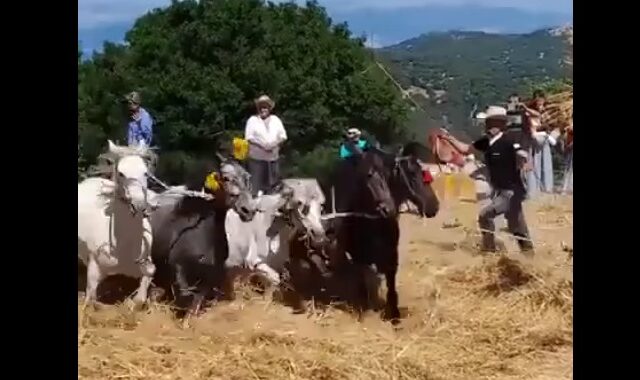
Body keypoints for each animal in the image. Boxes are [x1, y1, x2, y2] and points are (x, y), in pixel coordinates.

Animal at [78, 141, 158, 304]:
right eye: (121, 173)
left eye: (145, 173)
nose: (138, 206)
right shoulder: (94, 269)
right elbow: (92, 299)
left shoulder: (145, 266)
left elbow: (141, 296)